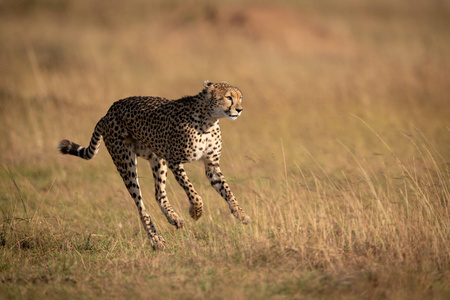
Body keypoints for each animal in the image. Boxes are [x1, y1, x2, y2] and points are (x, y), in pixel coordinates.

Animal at [57, 81, 250, 250]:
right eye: (228, 97)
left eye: (240, 98)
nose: (240, 109)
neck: (209, 120)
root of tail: (109, 111)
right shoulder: (174, 160)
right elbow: (193, 192)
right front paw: (196, 211)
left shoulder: (211, 165)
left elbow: (227, 191)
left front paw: (241, 214)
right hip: (126, 161)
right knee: (140, 204)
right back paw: (156, 240)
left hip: (157, 158)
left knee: (159, 194)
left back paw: (174, 219)